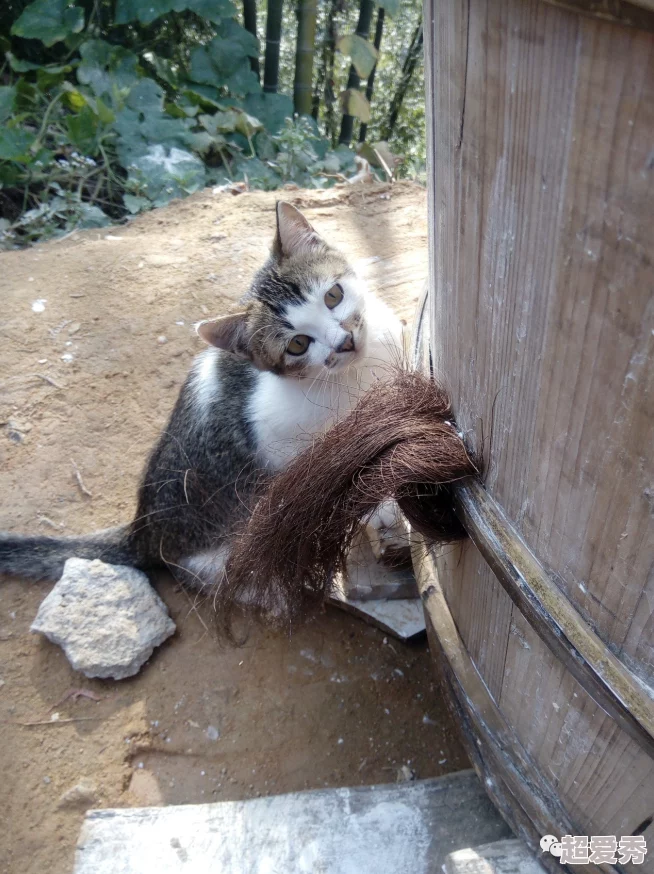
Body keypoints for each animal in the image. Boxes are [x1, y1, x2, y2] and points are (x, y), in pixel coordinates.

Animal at [0, 201, 408, 588]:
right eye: (298, 344)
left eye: (333, 295)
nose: (345, 341)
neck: (357, 371)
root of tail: (143, 529)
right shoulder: (282, 445)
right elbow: (332, 474)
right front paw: (378, 507)